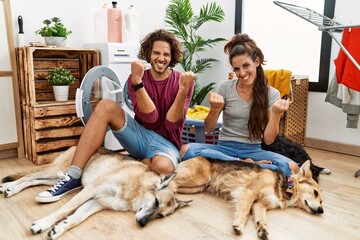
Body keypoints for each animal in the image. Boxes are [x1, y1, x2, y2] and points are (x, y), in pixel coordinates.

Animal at [0, 146, 190, 240]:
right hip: (56, 170)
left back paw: (11, 188)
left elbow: (75, 218)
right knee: (30, 175)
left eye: (160, 216)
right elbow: (64, 210)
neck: (135, 189)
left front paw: (60, 228)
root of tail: (75, 145)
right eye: (156, 202)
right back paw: (9, 186)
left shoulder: (96, 203)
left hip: (54, 178)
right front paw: (43, 223)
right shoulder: (90, 191)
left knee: (33, 180)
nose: (142, 223)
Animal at [172, 157, 324, 239]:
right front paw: (238, 225)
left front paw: (263, 230)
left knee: (173, 186)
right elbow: (244, 211)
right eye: (315, 193)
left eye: (322, 201)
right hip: (198, 178)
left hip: (196, 187)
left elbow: (262, 219)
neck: (285, 187)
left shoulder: (260, 204)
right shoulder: (249, 192)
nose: (321, 210)